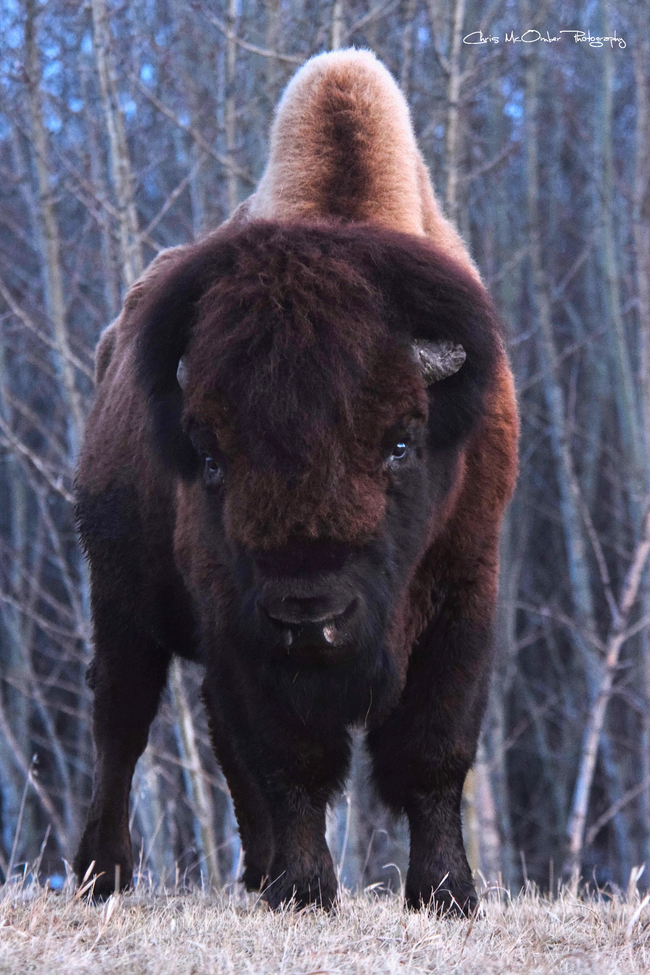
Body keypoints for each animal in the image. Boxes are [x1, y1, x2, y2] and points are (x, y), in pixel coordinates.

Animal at [74, 49, 518, 914]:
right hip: (122, 598)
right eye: (211, 457)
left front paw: (446, 892)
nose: (310, 617)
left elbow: (434, 753)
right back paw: (101, 873)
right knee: (121, 725)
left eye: (401, 443)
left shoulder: (465, 588)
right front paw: (308, 889)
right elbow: (291, 762)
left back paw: (254, 872)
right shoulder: (240, 623)